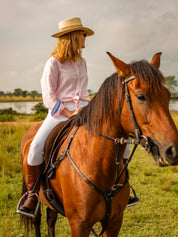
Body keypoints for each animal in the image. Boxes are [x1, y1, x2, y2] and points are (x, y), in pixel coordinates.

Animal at [18, 52, 178, 236]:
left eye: (168, 95)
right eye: (141, 96)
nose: (174, 151)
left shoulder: (114, 221)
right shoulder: (79, 224)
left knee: (50, 221)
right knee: (37, 221)